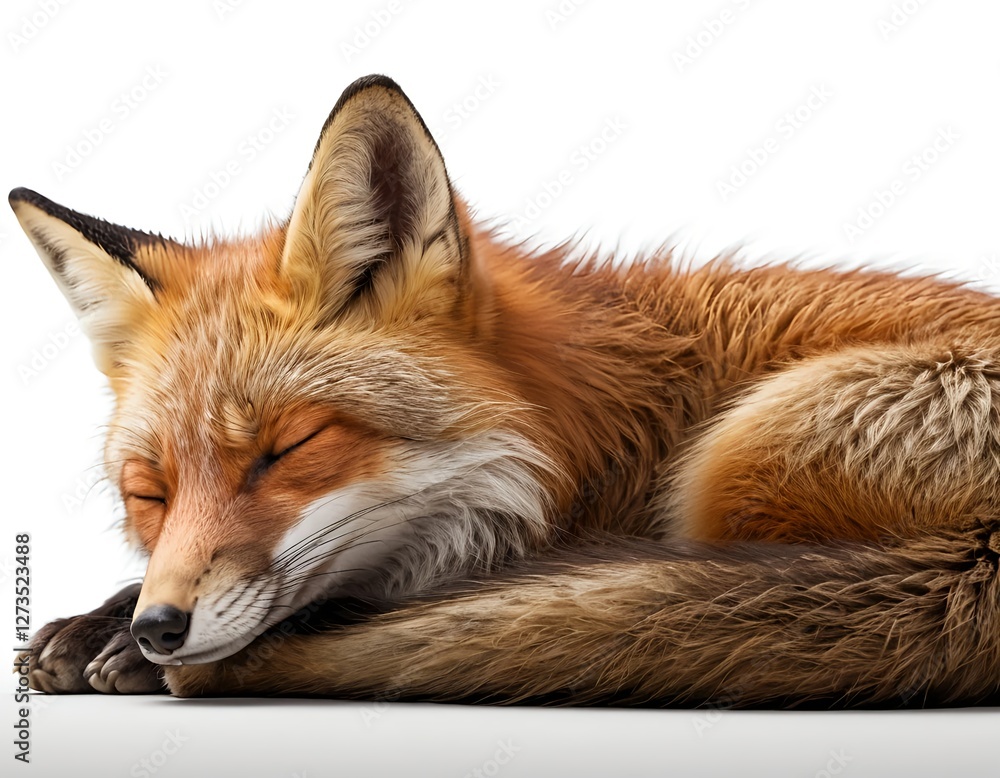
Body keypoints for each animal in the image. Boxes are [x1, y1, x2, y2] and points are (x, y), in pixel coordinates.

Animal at [12, 74, 1000, 706]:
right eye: (150, 493)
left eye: (288, 449)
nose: (161, 628)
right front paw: (102, 620)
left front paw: (120, 641)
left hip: (741, 458)